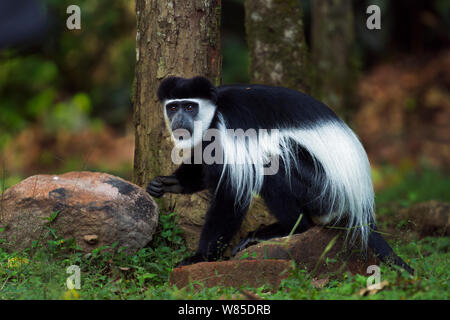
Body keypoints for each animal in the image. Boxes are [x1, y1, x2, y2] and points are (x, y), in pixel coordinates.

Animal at [148, 76, 414, 274]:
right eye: (173, 107)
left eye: (190, 107)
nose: (179, 119)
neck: (214, 112)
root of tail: (360, 199)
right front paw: (170, 183)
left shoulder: (228, 128)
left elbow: (230, 194)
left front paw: (200, 256)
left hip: (323, 191)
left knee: (274, 164)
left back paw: (285, 229)